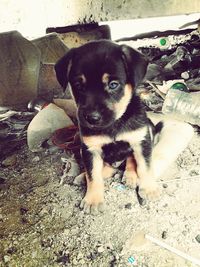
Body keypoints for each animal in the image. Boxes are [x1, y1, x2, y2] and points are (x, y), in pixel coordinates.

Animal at [55, 39, 159, 215]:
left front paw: (149, 188)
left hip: (149, 131)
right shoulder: (90, 149)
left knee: (130, 159)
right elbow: (93, 175)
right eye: (78, 85)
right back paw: (83, 177)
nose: (92, 118)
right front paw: (93, 200)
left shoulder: (141, 140)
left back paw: (130, 176)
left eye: (113, 85)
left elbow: (145, 166)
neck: (114, 124)